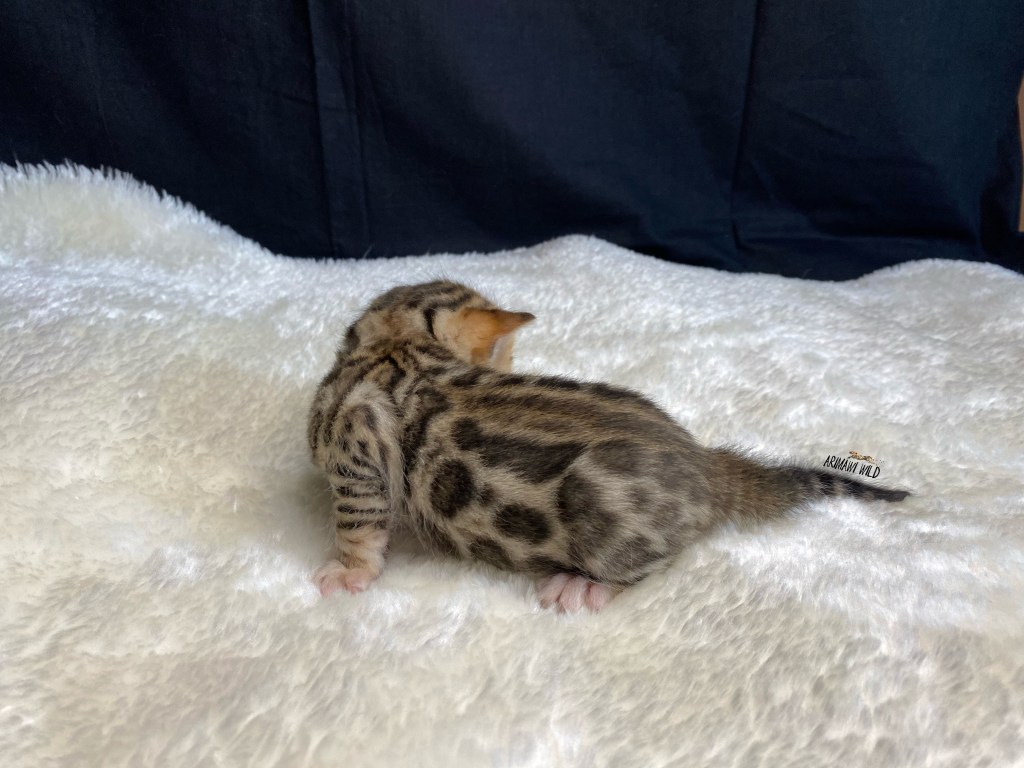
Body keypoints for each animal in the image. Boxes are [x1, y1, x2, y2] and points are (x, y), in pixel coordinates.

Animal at [307, 280, 909, 612]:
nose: (510, 364)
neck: (400, 348)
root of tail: (707, 466)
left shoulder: (356, 447)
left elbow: (358, 522)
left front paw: (351, 571)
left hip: (599, 509)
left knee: (657, 565)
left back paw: (586, 587)